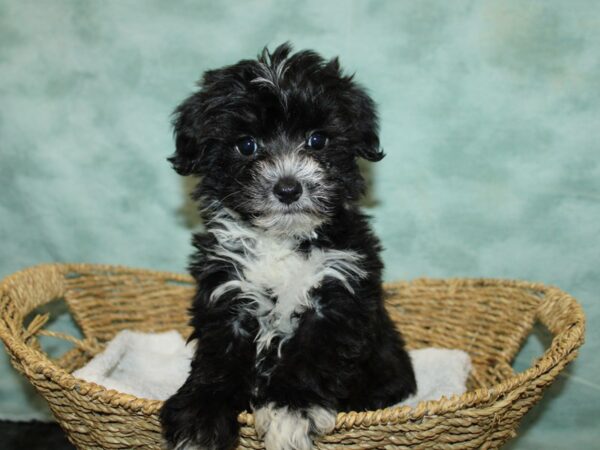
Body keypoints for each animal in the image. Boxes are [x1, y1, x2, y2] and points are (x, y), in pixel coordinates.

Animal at [162, 43, 420, 450]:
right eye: (246, 145)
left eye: (317, 140)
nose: (287, 188)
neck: (282, 241)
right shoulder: (227, 294)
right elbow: (216, 360)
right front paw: (199, 420)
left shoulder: (338, 296)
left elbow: (312, 357)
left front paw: (289, 412)